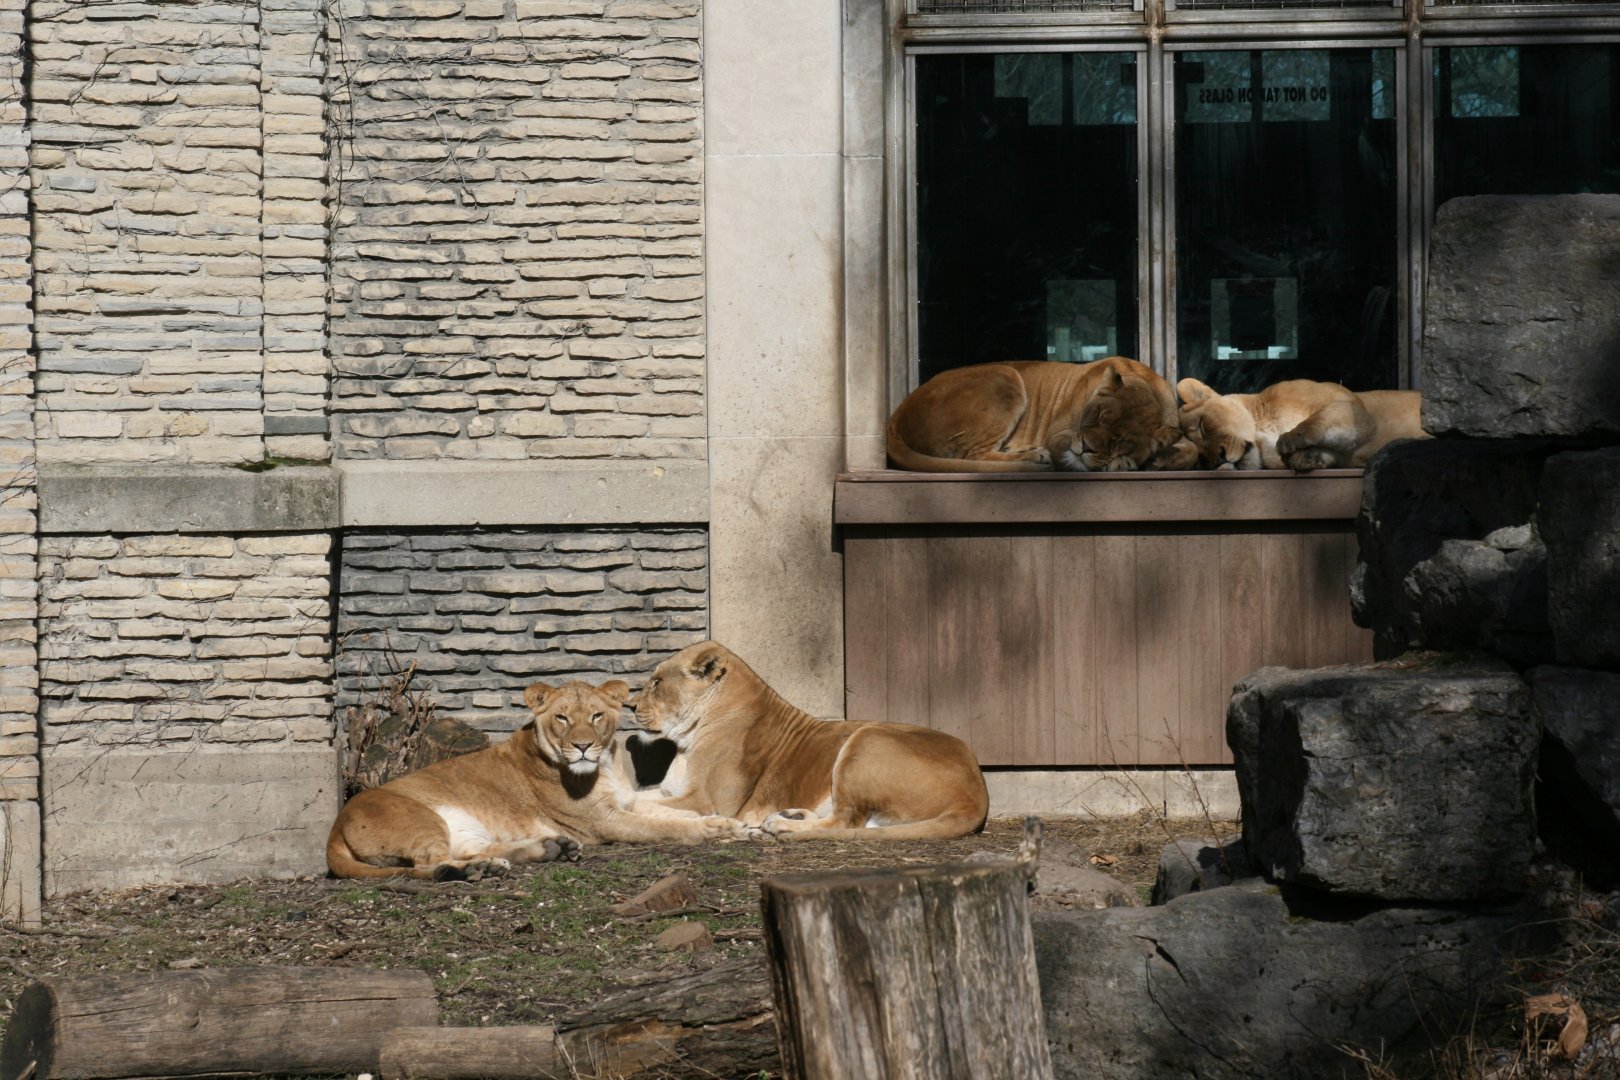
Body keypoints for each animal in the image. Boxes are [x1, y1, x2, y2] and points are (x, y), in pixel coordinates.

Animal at [325, 679, 746, 880]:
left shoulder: (627, 802)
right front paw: (711, 830)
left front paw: (725, 822)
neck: (607, 766)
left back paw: (546, 850)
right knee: (430, 863)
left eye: (596, 716)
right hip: (420, 820)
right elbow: (666, 827)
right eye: (562, 718)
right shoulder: (605, 821)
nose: (582, 746)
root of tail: (336, 825)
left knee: (472, 850)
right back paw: (475, 872)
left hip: (463, 829)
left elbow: (672, 812)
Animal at [629, 641, 990, 840]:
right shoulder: (672, 791)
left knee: (846, 822)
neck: (686, 741)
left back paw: (782, 827)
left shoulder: (707, 800)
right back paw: (790, 816)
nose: (629, 706)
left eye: (657, 682)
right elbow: (639, 795)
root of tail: (976, 792)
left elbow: (639, 803)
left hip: (866, 738)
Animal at [886, 356, 1198, 473]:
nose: (1086, 447)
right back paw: (1034, 456)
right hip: (1006, 375)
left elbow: (1193, 448)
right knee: (972, 455)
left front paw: (1160, 459)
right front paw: (1123, 464)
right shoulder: (1059, 434)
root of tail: (898, 413)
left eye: (1120, 440)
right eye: (1096, 416)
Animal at [1177, 377, 1427, 471]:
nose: (1218, 459)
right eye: (1201, 460)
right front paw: (1308, 457)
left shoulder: (1354, 408)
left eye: (1202, 425)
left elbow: (1319, 419)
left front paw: (1290, 439)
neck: (1262, 432)